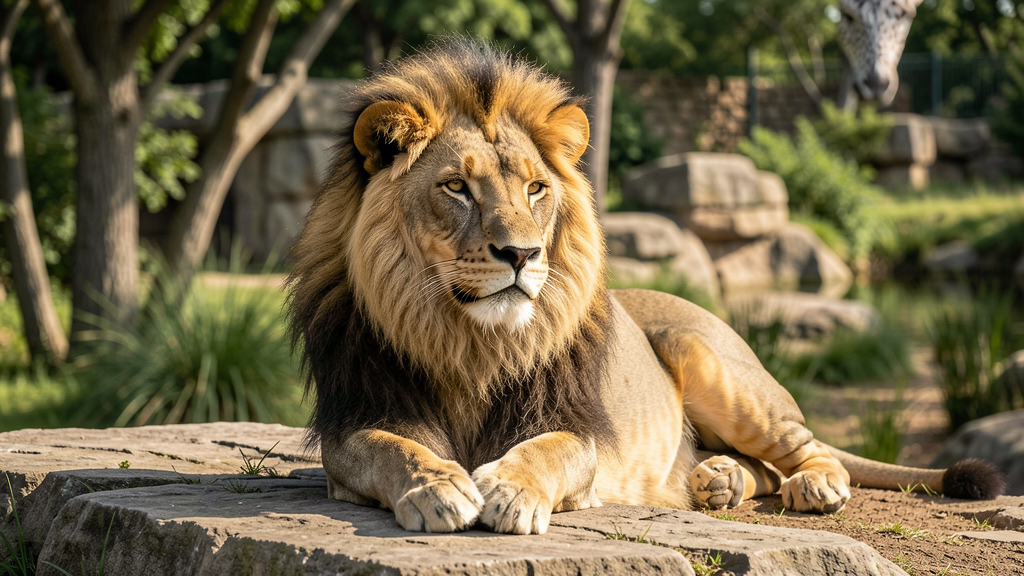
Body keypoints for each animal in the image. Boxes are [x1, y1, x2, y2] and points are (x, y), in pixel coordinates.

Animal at [287, 39, 1002, 535]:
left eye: (536, 188)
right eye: (456, 188)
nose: (521, 254)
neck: (471, 341)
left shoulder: (576, 427)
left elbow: (548, 451)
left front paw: (511, 492)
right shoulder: (356, 418)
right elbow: (392, 449)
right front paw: (436, 485)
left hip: (714, 362)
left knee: (810, 448)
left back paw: (812, 486)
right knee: (761, 470)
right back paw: (718, 481)